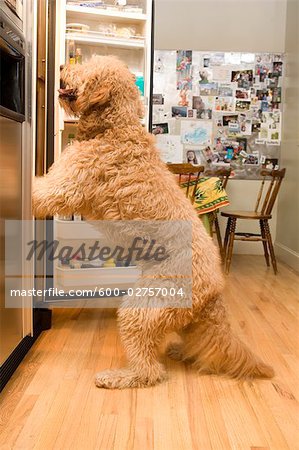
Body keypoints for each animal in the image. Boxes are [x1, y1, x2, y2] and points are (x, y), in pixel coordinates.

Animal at [32, 55, 274, 386]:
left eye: (88, 66)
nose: (59, 68)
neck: (114, 126)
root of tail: (216, 289)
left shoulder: (64, 187)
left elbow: (38, 191)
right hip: (179, 315)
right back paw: (182, 352)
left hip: (143, 307)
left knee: (149, 370)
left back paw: (119, 376)